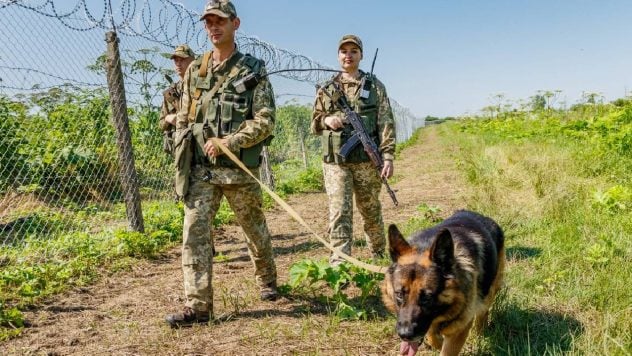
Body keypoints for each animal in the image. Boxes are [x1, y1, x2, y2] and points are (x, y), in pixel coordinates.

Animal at [380, 210, 504, 354]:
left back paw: (479, 332)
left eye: (427, 297)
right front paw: (436, 342)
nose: (405, 335)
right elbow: (432, 336)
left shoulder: (458, 329)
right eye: (399, 294)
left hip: (489, 291)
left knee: (483, 311)